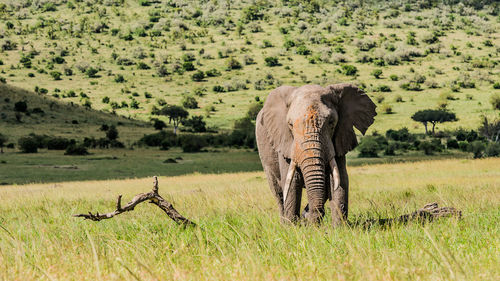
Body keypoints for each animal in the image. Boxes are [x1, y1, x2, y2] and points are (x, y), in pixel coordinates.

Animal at [258, 83, 376, 225]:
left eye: (331, 122)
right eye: (290, 125)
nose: (312, 222)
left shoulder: (339, 137)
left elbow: (338, 178)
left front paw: (339, 227)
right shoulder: (285, 142)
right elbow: (292, 180)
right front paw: (292, 227)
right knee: (278, 192)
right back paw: (284, 223)